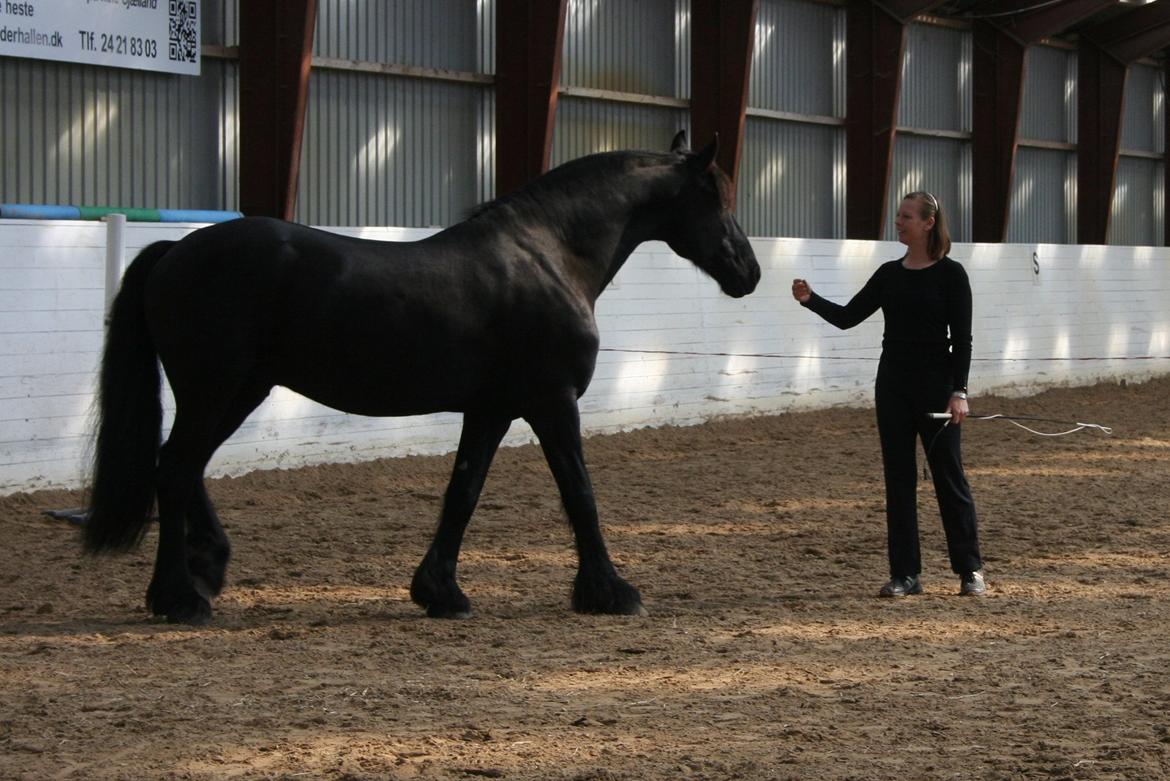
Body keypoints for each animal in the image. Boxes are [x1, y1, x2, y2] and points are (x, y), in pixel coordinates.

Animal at [82, 132, 758, 621]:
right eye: (716, 200)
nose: (748, 272)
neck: (550, 256)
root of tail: (175, 250)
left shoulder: (492, 407)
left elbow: (463, 492)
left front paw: (440, 592)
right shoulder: (552, 400)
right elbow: (579, 492)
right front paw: (611, 592)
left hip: (241, 390)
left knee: (183, 467)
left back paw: (208, 567)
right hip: (214, 388)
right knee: (174, 469)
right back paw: (178, 598)